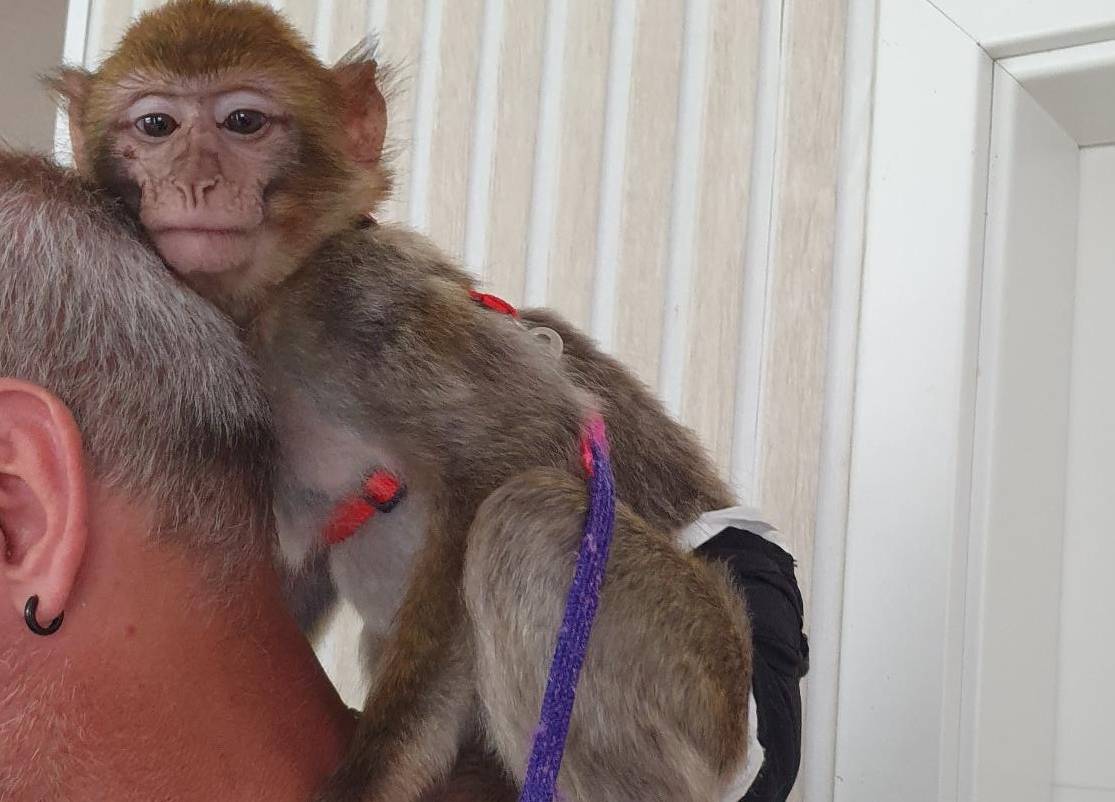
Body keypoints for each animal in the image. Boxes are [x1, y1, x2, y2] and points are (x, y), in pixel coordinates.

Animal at [51, 2, 754, 800]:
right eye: (157, 126)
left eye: (243, 122)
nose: (195, 182)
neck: (270, 300)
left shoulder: (356, 301)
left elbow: (520, 446)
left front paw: (368, 776)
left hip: (701, 687)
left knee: (529, 518)